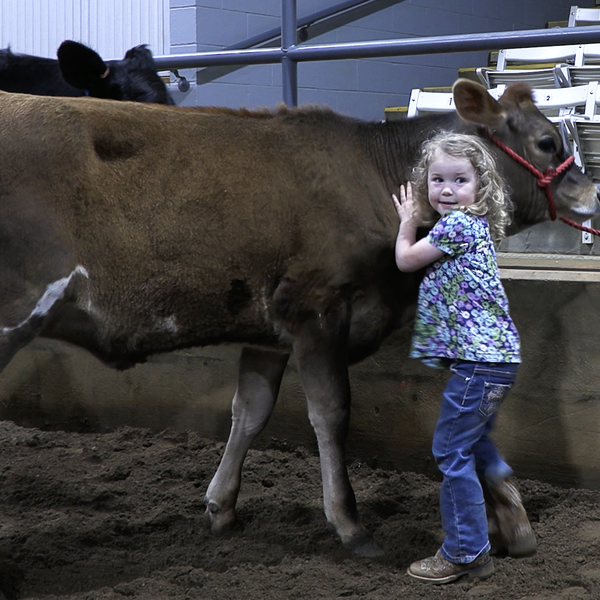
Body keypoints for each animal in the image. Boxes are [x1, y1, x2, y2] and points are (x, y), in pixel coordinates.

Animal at [0, 79, 596, 556]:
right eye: (547, 142)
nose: (591, 189)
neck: (373, 173)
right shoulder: (319, 309)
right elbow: (331, 414)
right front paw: (350, 525)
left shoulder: (269, 331)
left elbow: (250, 412)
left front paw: (221, 508)